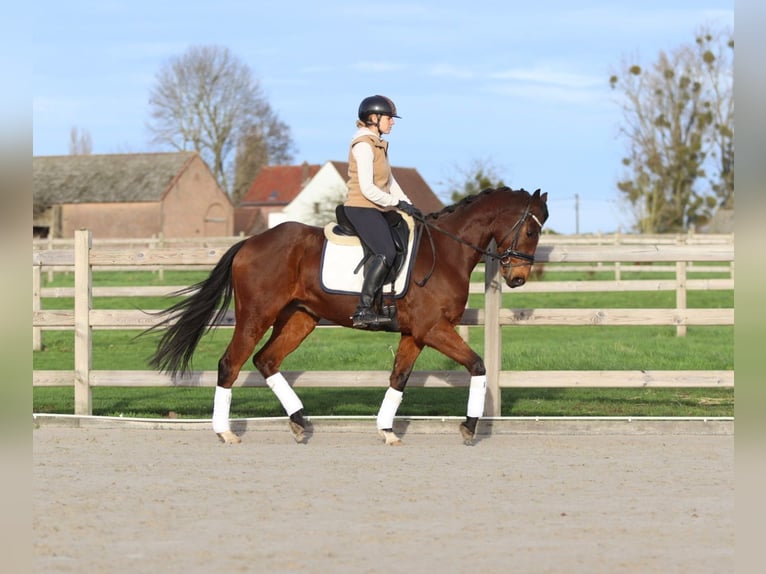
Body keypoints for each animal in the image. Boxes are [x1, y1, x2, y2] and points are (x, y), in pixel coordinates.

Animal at [146, 187, 549, 445]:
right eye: (530, 229)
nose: (518, 278)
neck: (446, 251)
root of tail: (250, 242)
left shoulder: (415, 333)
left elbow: (399, 377)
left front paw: (386, 430)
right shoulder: (433, 328)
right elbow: (478, 365)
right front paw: (469, 427)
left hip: (300, 318)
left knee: (266, 360)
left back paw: (299, 421)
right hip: (256, 316)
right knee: (231, 364)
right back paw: (225, 431)